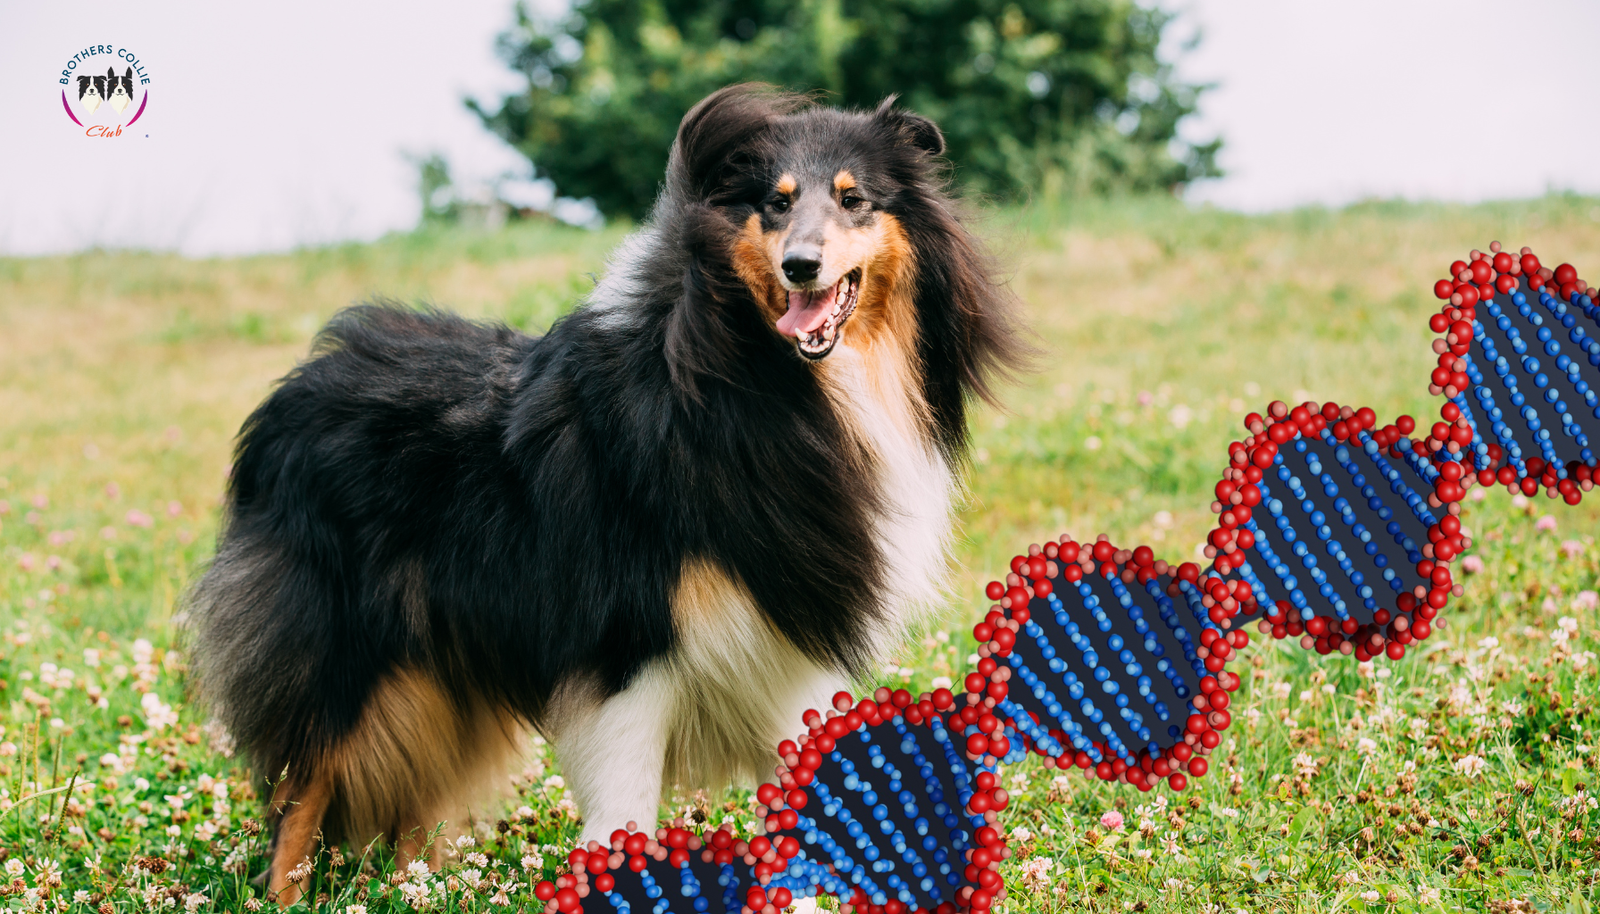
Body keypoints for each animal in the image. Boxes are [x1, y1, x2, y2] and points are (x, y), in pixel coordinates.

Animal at [184, 84, 1011, 909]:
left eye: (853, 199)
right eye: (774, 204)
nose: (801, 265)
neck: (762, 383)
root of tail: (292, 391)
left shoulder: (787, 640)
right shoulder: (626, 642)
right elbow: (624, 813)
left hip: (440, 672)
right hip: (349, 649)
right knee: (301, 793)